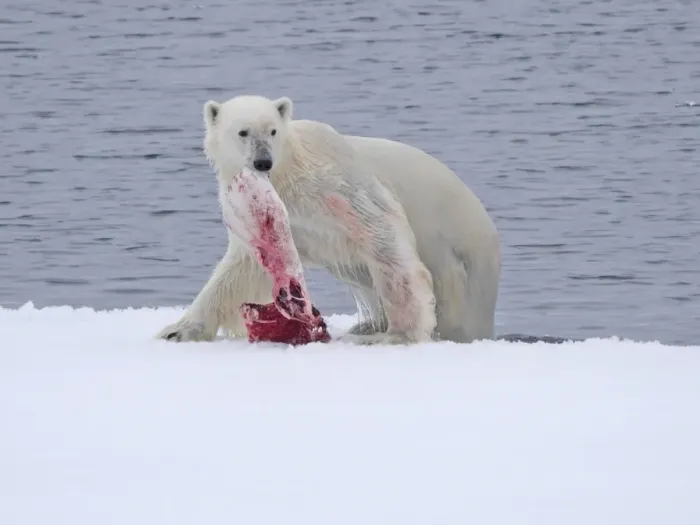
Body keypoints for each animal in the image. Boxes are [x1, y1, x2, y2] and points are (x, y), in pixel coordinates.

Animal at [157, 94, 501, 345]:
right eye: (243, 132)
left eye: (273, 131)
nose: (262, 162)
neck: (287, 173)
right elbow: (241, 268)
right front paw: (177, 330)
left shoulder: (333, 180)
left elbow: (381, 234)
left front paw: (398, 335)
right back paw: (365, 325)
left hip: (459, 267)